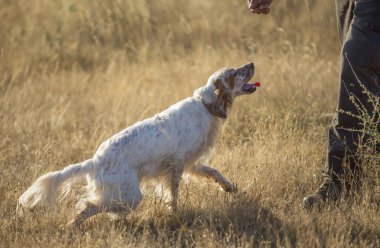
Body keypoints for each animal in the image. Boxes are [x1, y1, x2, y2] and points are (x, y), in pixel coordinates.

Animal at [16, 63, 256, 226]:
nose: (251, 64)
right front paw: (175, 213)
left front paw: (230, 187)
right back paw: (73, 225)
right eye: (234, 73)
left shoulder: (192, 163)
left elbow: (214, 172)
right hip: (130, 195)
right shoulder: (177, 164)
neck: (205, 105)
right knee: (87, 206)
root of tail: (94, 162)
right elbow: (173, 194)